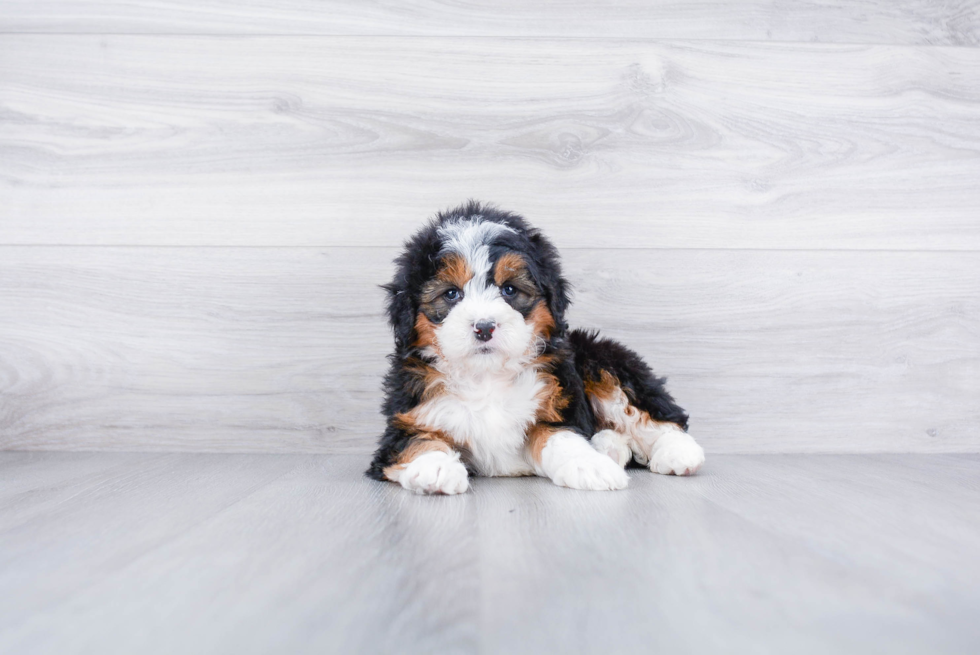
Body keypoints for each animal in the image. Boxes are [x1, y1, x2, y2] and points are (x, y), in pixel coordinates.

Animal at [368, 202, 704, 494]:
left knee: (656, 416)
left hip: (601, 362)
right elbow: (417, 440)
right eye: (451, 294)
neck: (485, 377)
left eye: (509, 290)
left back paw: (677, 454)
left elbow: (559, 436)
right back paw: (610, 445)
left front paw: (588, 465)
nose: (484, 327)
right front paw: (435, 467)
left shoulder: (557, 409)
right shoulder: (405, 420)